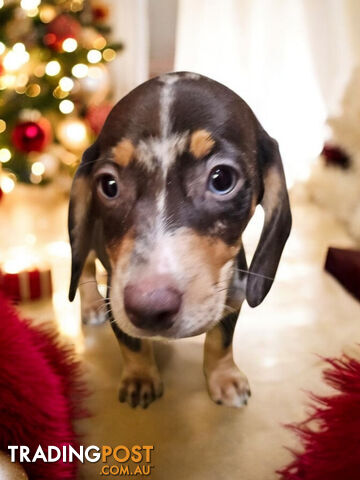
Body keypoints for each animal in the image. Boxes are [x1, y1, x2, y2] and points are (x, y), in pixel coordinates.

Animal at [68, 71, 292, 408]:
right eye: (108, 185)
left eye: (222, 179)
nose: (148, 308)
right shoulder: (116, 299)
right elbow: (132, 344)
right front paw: (140, 377)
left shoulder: (233, 294)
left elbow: (220, 341)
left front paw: (223, 377)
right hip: (83, 239)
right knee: (83, 266)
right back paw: (91, 305)